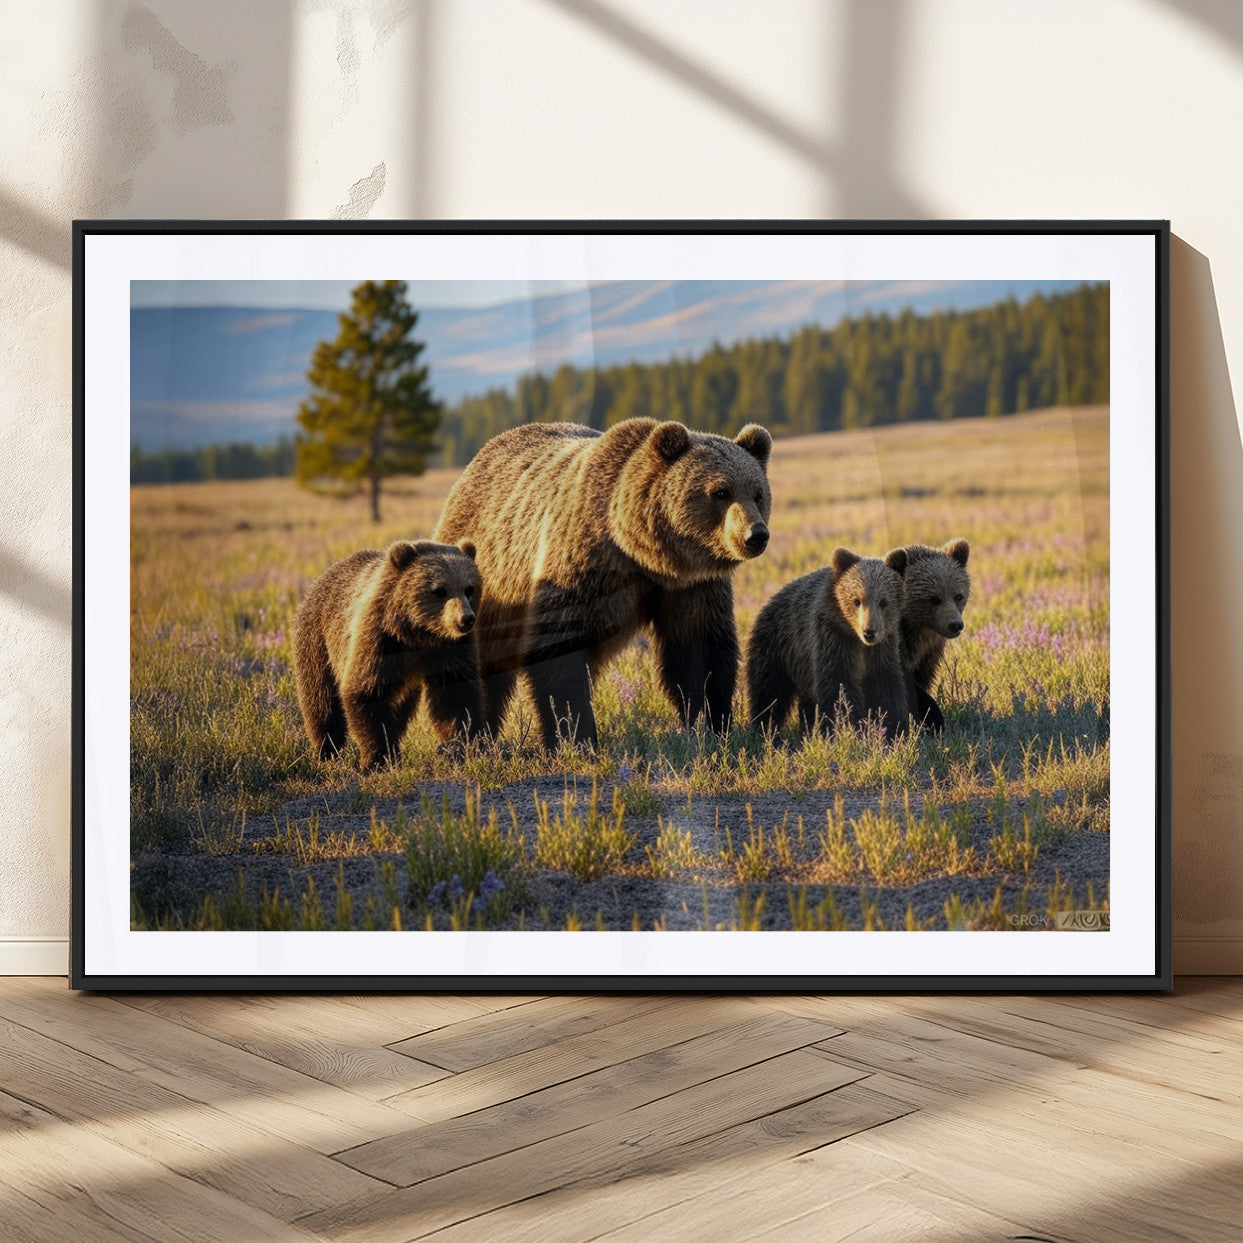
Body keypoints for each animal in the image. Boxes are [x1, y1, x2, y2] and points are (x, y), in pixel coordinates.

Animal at [292, 539, 482, 771]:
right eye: (440, 590)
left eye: (469, 588)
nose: (466, 619)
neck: (418, 634)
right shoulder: (380, 638)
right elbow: (366, 691)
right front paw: (378, 758)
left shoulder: (451, 648)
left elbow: (456, 693)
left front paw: (463, 744)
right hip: (318, 642)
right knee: (320, 699)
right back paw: (326, 751)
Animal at [433, 417, 773, 749]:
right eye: (721, 492)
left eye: (758, 493)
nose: (756, 535)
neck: (641, 553)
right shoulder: (578, 564)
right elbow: (559, 651)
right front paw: (574, 735)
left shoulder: (690, 586)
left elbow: (699, 651)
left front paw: (711, 726)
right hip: (479, 586)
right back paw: (467, 736)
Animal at [746, 546, 911, 738]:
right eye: (857, 600)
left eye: (883, 602)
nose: (869, 632)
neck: (856, 639)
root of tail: (771, 598)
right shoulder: (832, 639)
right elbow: (838, 686)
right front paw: (846, 726)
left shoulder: (882, 650)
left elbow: (885, 687)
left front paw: (895, 727)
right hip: (778, 647)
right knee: (769, 690)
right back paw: (766, 728)